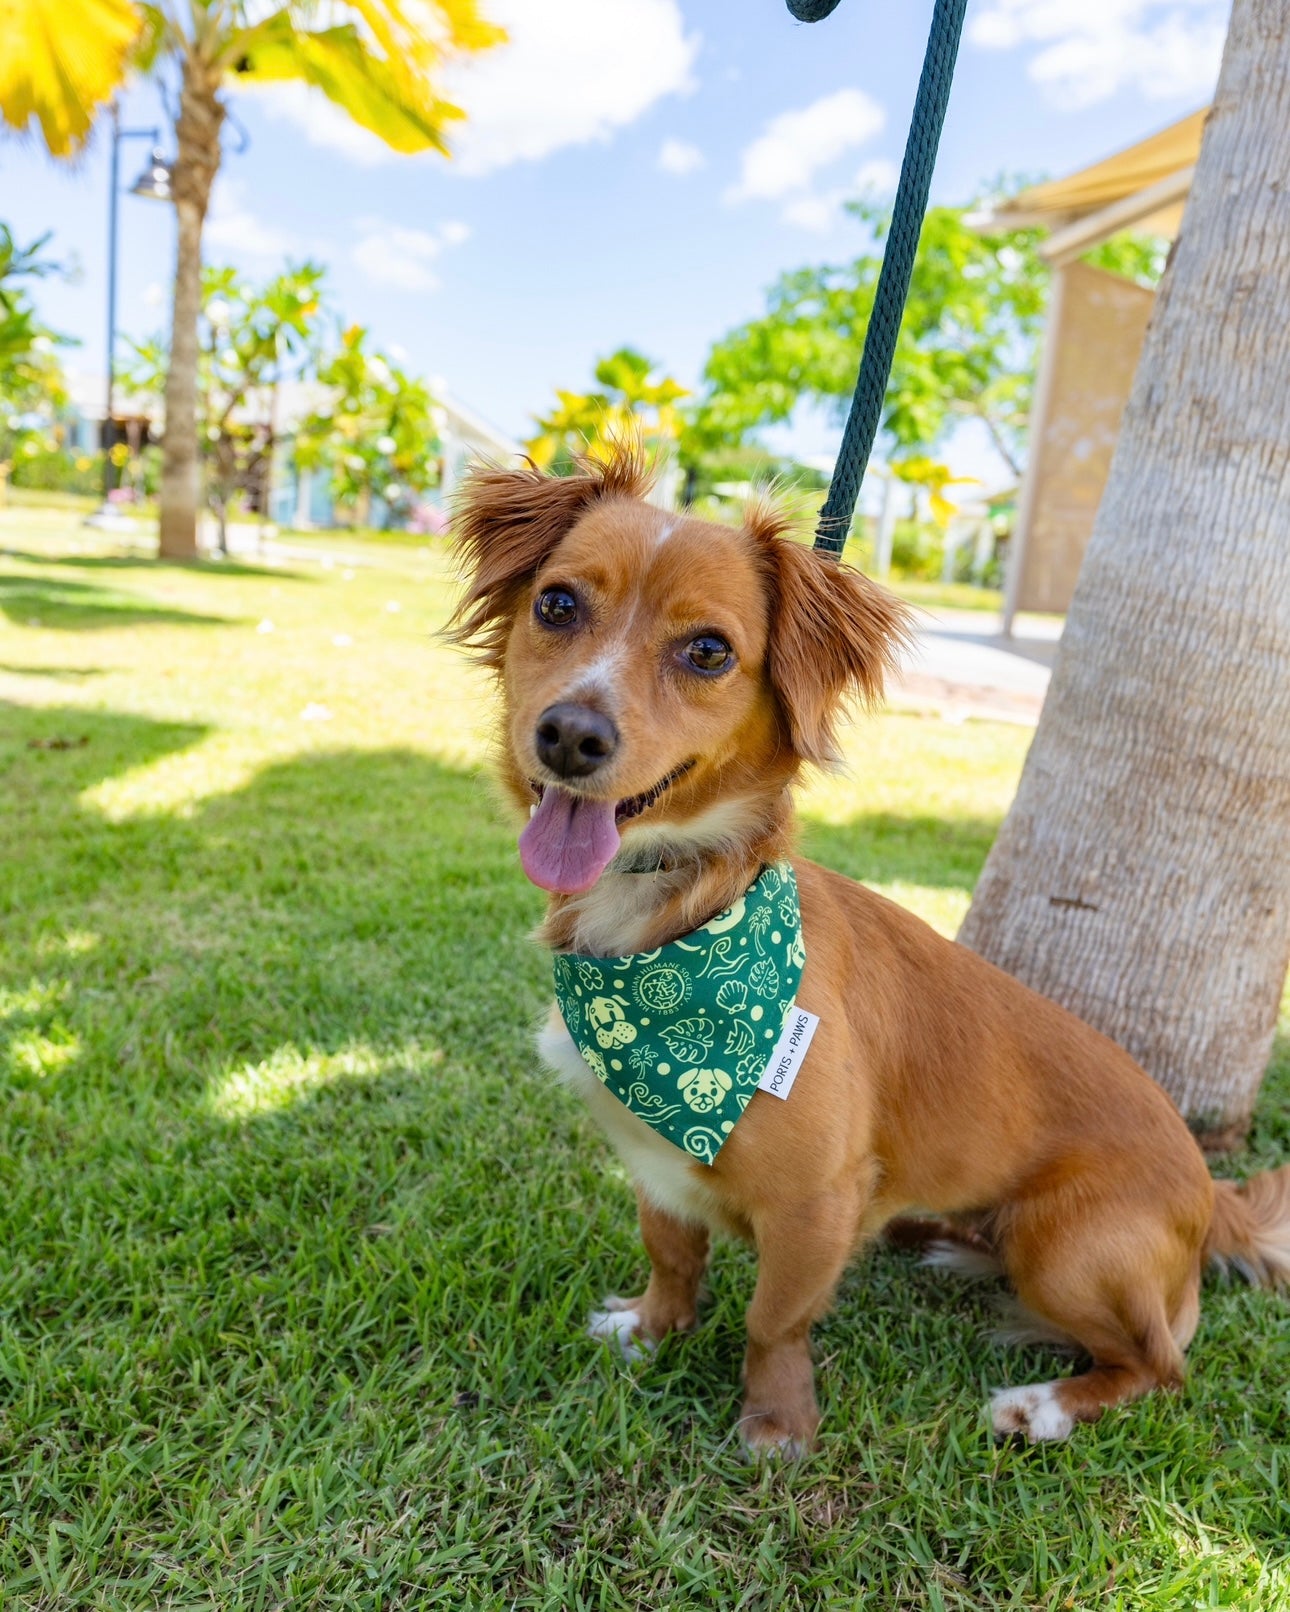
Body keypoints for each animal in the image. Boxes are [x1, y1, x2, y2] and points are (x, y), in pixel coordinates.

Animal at [448, 448, 1283, 1457]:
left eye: (708, 651)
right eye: (559, 604)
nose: (571, 735)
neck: (673, 935)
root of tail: (1211, 1186)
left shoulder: (817, 1198)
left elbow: (774, 1318)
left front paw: (776, 1424)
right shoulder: (656, 1162)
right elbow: (673, 1255)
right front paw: (652, 1330)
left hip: (1068, 1248)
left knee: (1159, 1366)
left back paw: (1042, 1405)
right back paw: (949, 1245)